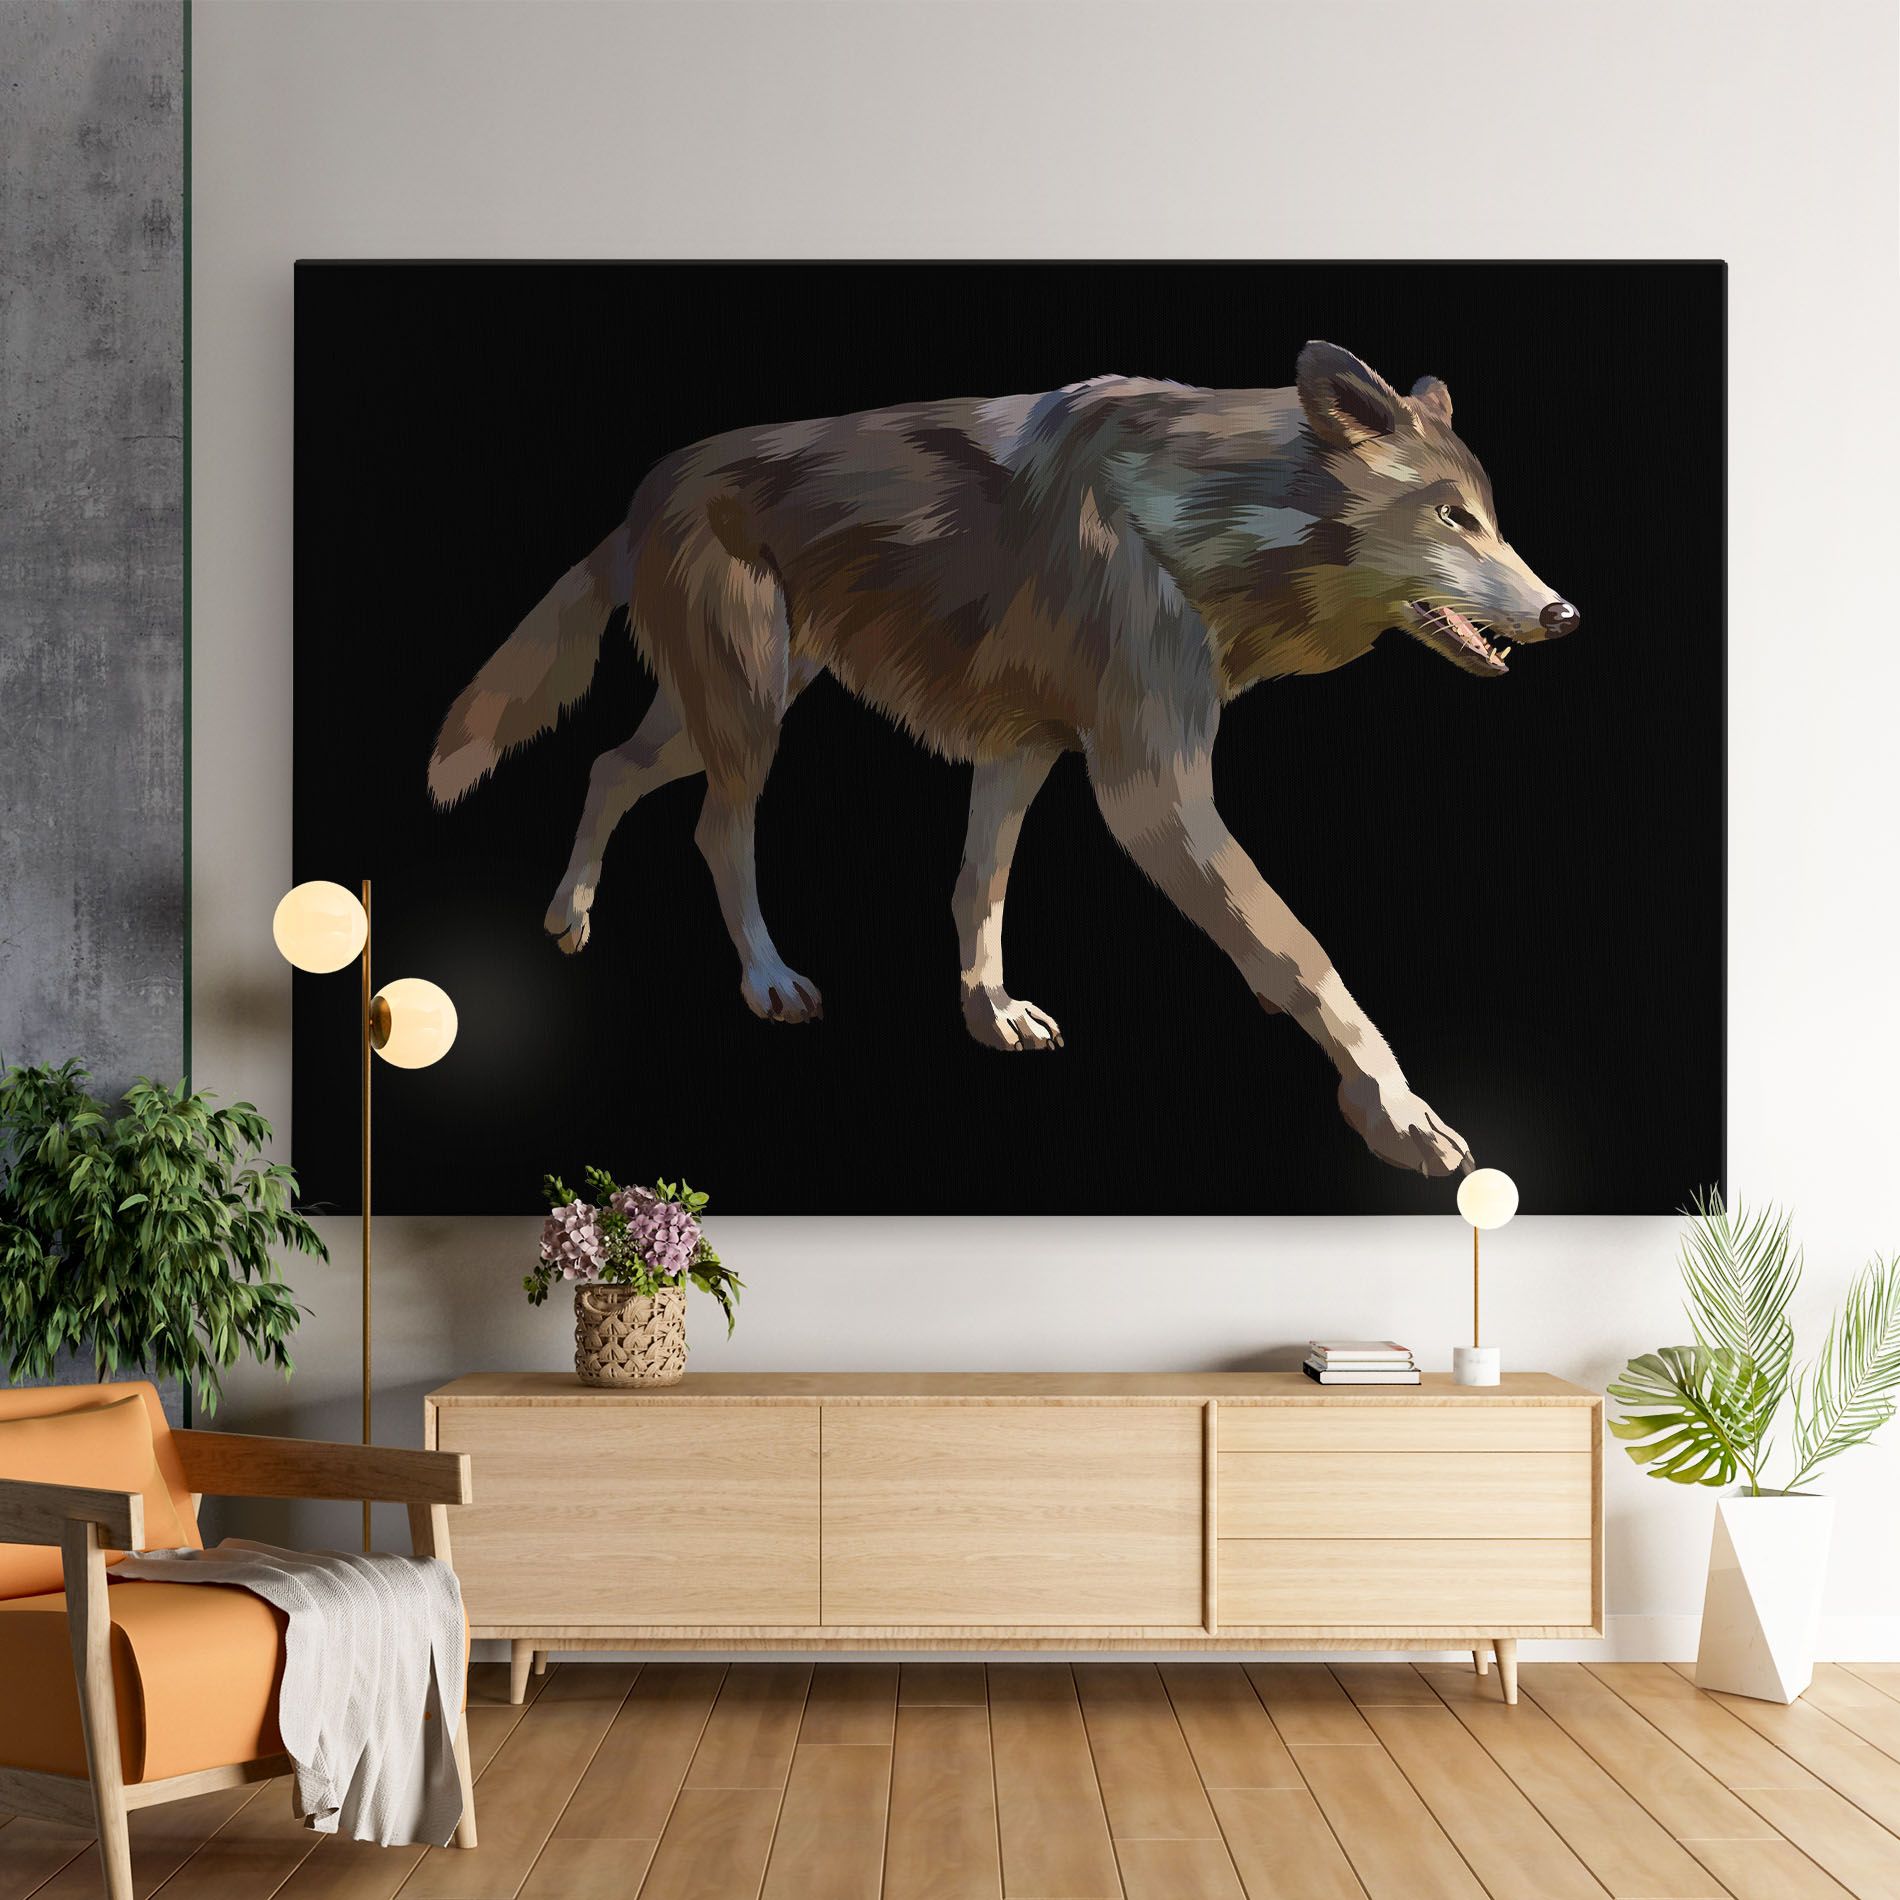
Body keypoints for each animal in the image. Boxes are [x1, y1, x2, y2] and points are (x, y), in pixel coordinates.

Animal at [429, 342, 1578, 1177]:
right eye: (1452, 516)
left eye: (1492, 519)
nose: (1564, 615)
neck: (1201, 523)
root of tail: (649, 481)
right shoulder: (1149, 792)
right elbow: (1303, 955)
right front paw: (1399, 1115)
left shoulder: (1021, 751)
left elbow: (978, 889)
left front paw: (989, 1015)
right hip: (749, 716)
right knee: (715, 827)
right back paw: (766, 979)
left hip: (723, 710)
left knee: (608, 766)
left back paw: (569, 916)